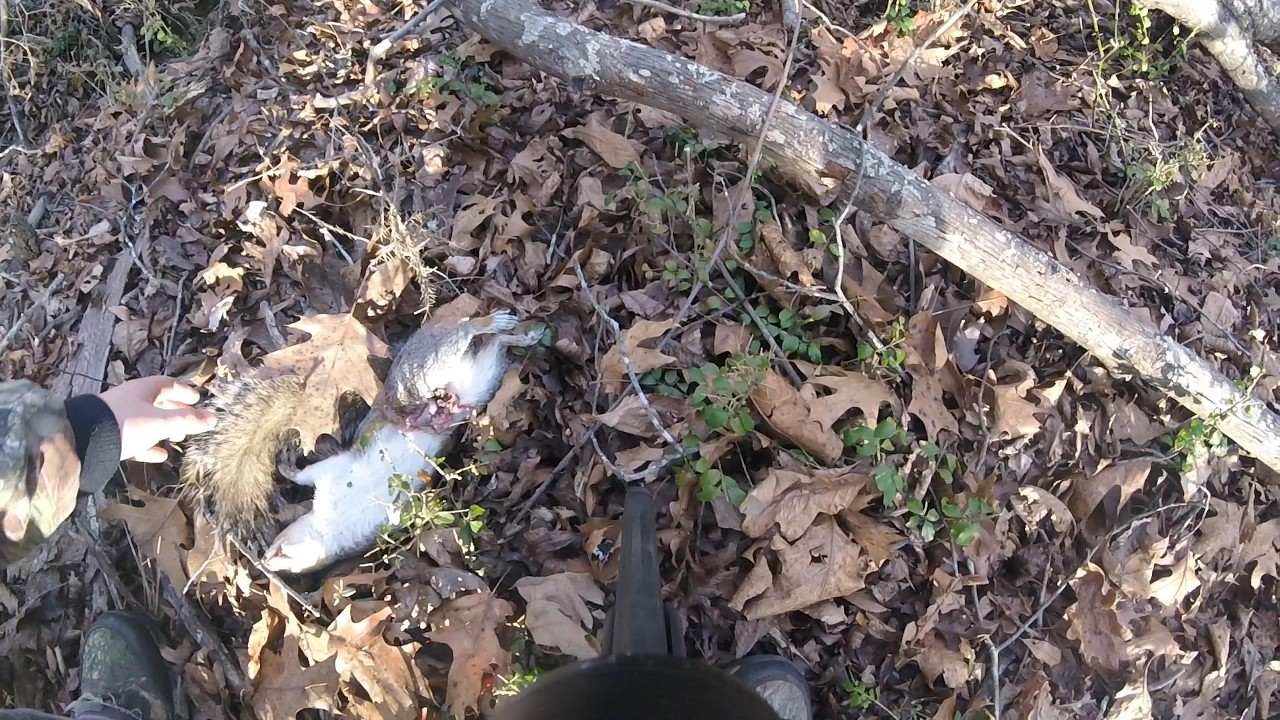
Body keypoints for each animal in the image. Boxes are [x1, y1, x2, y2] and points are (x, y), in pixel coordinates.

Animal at [179, 310, 539, 574]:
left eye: (281, 550)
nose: (267, 562)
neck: (331, 526)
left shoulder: (332, 472)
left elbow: (306, 475)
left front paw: (287, 466)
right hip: (481, 373)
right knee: (491, 345)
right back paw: (520, 336)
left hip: (425, 368)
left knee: (466, 334)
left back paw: (490, 323)